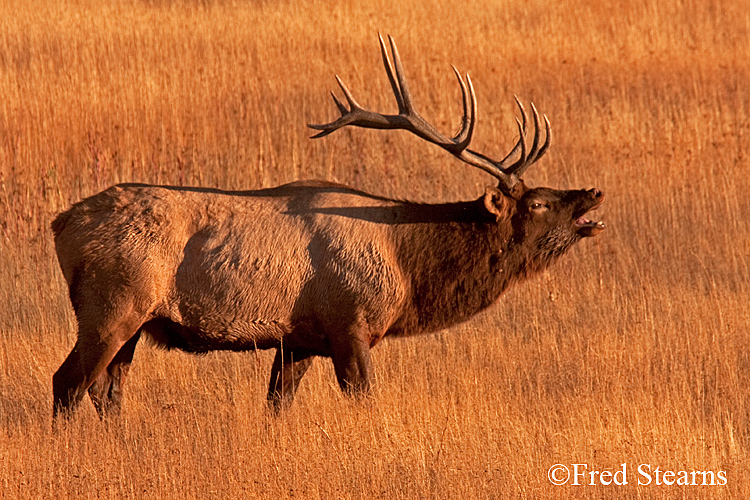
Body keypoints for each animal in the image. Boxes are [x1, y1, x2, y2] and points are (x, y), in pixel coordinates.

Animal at [51, 35, 605, 419]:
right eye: (538, 202)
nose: (593, 194)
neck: (406, 267)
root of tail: (61, 224)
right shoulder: (349, 321)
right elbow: (365, 402)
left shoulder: (297, 338)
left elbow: (277, 408)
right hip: (112, 305)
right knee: (69, 383)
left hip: (134, 321)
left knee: (107, 391)